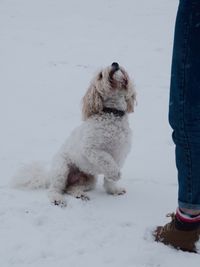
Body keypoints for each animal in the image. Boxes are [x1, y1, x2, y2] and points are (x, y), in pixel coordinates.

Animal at [13, 62, 137, 207]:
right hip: (61, 169)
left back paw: (79, 194)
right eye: (100, 75)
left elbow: (109, 178)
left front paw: (113, 190)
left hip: (89, 178)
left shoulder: (120, 153)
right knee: (55, 189)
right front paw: (115, 174)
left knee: (70, 188)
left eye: (117, 66)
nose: (115, 63)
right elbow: (106, 160)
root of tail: (50, 176)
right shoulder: (92, 149)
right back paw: (57, 198)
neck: (112, 113)